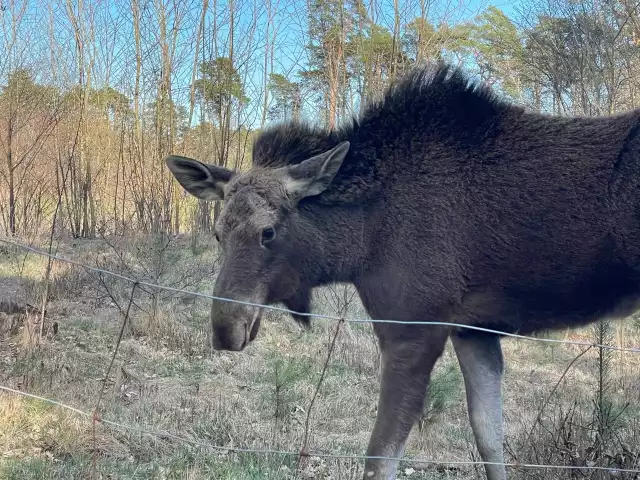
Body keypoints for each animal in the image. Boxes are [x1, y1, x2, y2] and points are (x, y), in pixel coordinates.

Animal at [164, 61, 640, 480]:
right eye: (218, 234)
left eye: (269, 231)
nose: (225, 330)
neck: (361, 242)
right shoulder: (473, 331)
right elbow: (490, 440)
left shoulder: (413, 329)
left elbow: (380, 458)